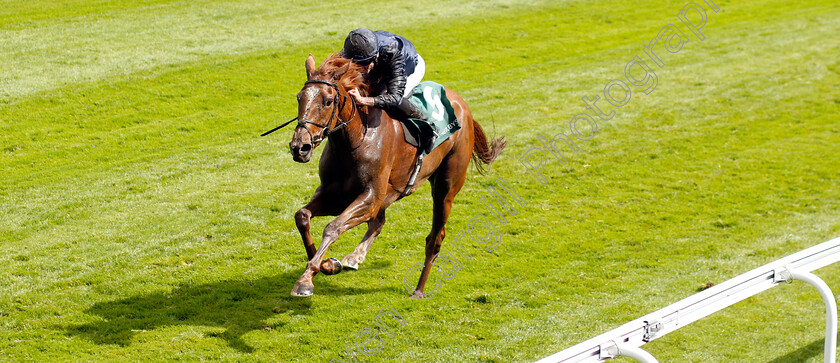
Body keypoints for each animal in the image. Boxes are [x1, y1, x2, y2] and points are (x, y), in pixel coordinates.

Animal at [288, 54, 506, 298]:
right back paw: (355, 257)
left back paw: (419, 289)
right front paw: (327, 265)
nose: (299, 148)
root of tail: (463, 105)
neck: (355, 140)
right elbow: (302, 216)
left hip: (446, 188)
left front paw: (305, 280)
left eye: (327, 101)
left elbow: (333, 227)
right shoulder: (335, 195)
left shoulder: (370, 196)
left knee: (435, 238)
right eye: (299, 98)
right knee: (380, 222)